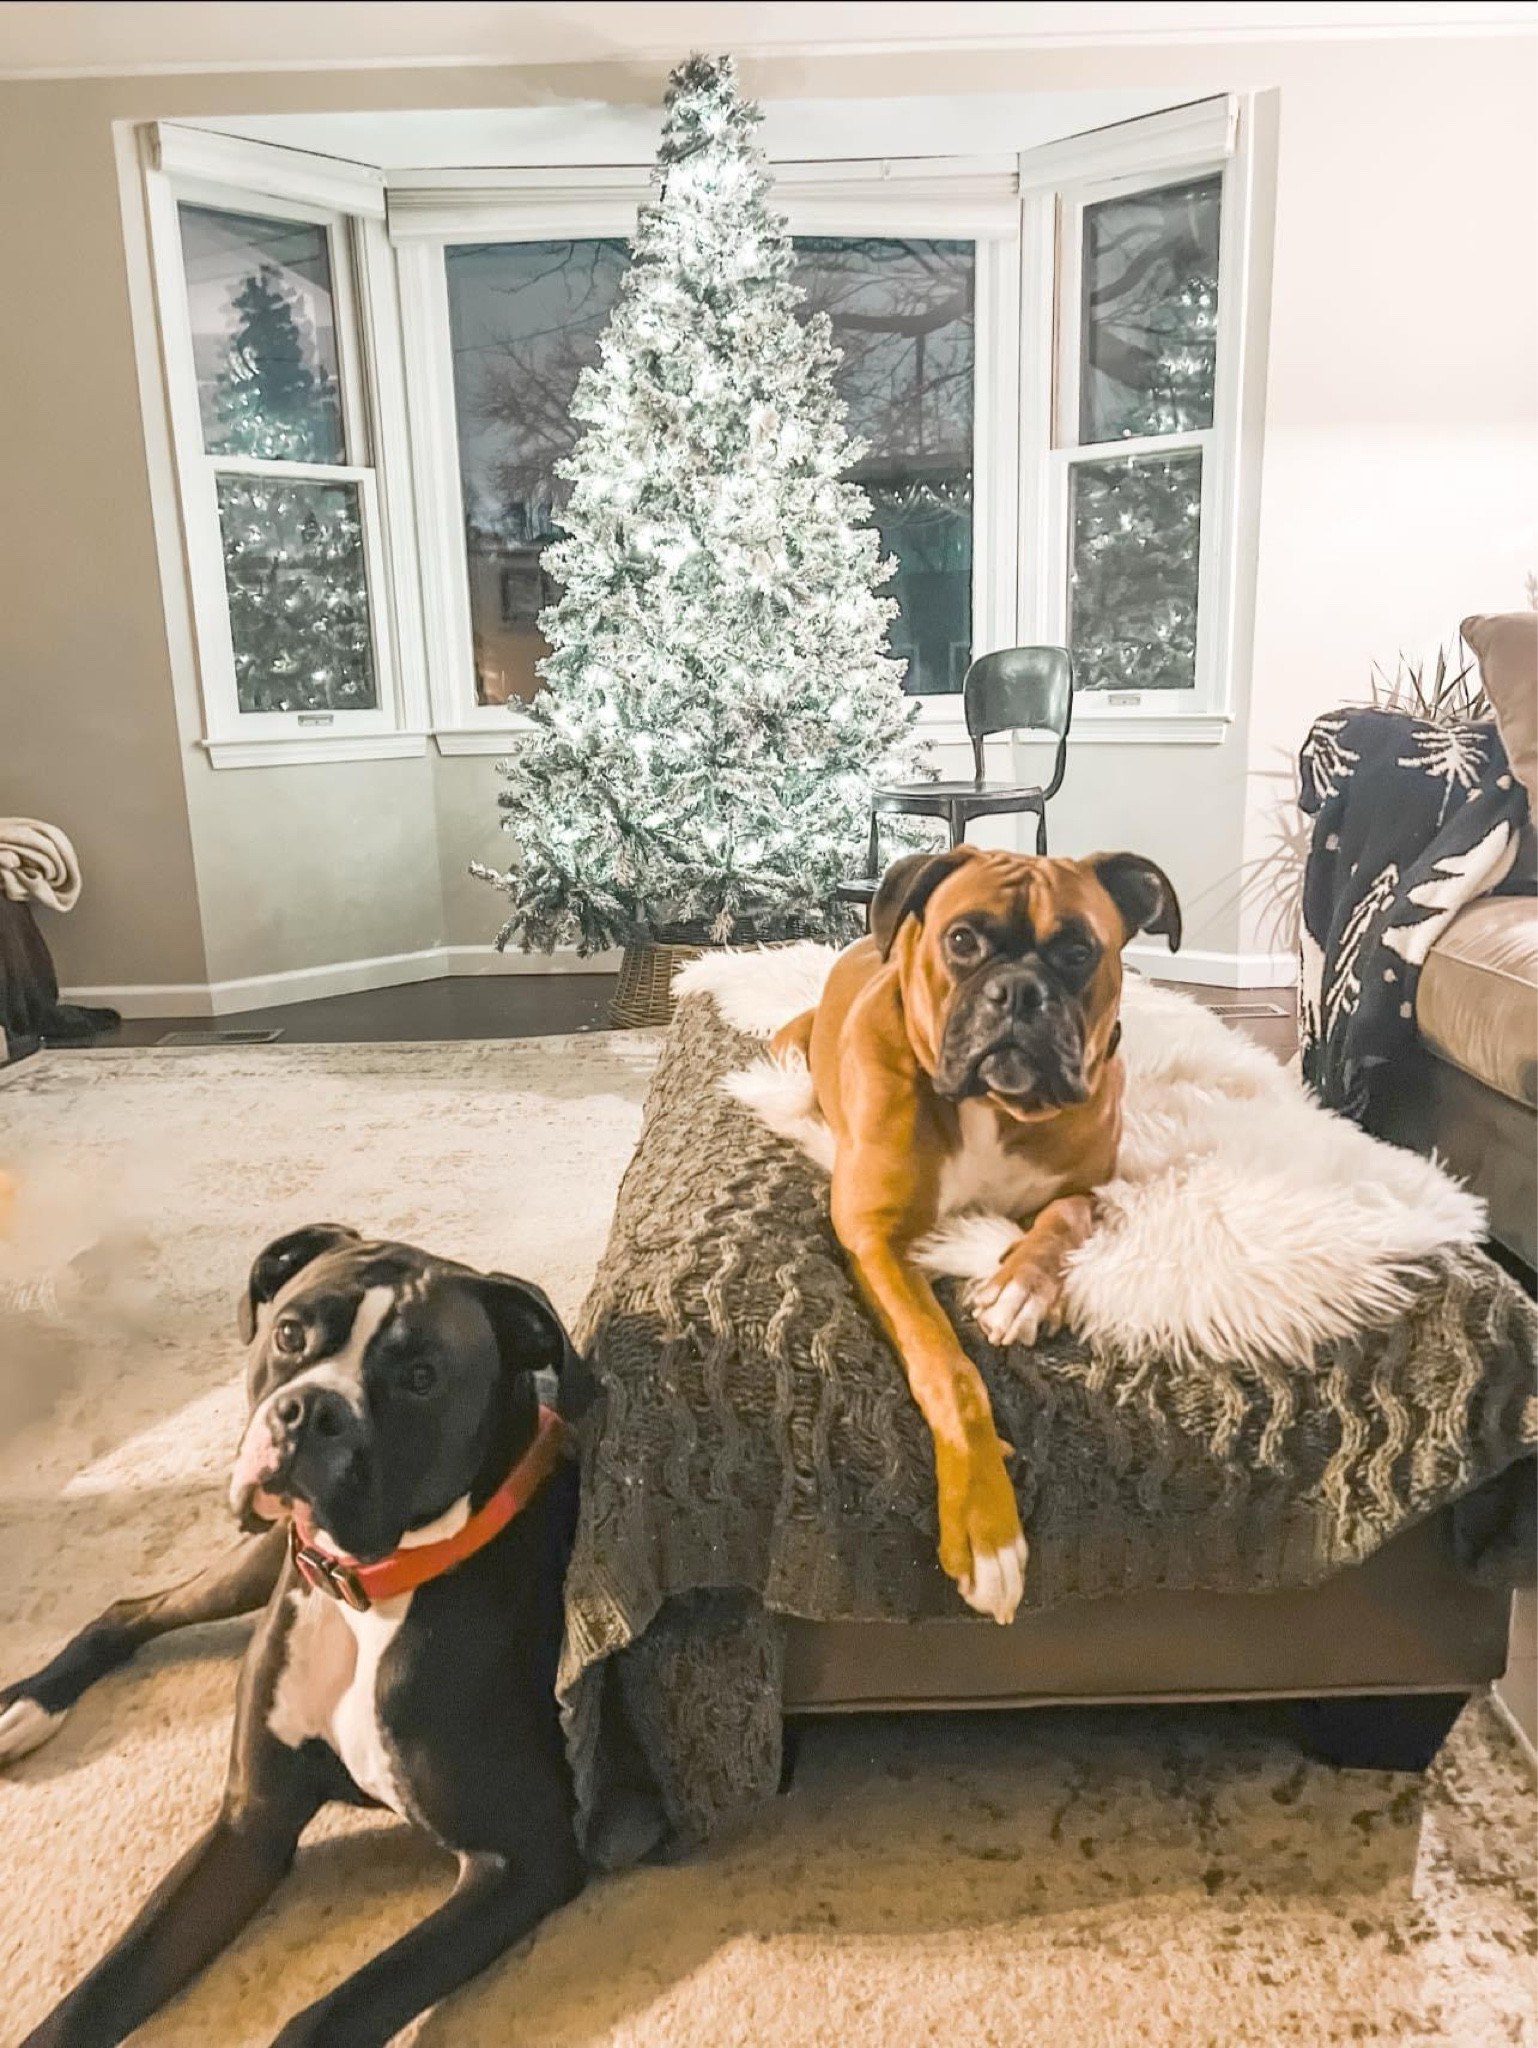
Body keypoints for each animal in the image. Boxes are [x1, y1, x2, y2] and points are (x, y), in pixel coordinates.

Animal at [0, 1224, 588, 2048]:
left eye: (421, 1375)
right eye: (289, 1334)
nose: (311, 1411)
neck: (368, 1597)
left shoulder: (521, 1857)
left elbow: (328, 2013)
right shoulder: (251, 1824)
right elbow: (99, 1991)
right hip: (257, 1558)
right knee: (131, 1610)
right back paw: (27, 1706)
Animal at [771, 846, 1181, 1628]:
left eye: (1078, 950)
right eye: (962, 940)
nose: (1018, 991)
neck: (995, 1108)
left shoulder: (1087, 1190)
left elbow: (1061, 1221)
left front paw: (1022, 1287)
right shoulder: (874, 1238)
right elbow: (950, 1370)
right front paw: (985, 1527)